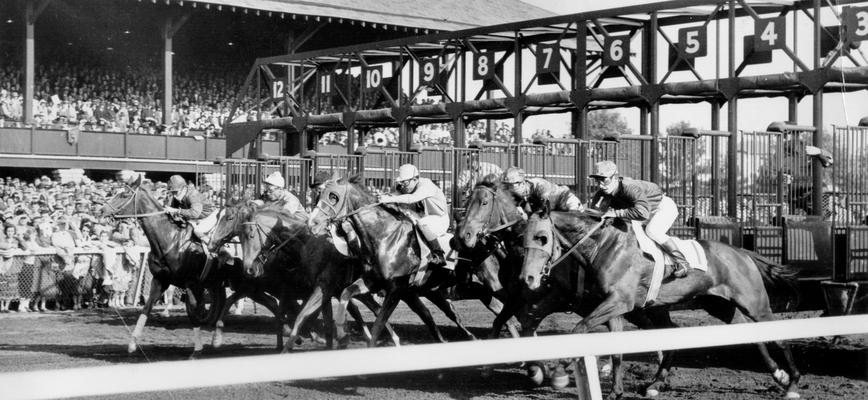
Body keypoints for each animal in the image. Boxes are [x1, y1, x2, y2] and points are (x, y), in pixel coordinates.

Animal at [99, 177, 227, 358]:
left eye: (124, 194)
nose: (101, 211)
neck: (172, 240)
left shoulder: (191, 283)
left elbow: (193, 314)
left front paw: (197, 349)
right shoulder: (160, 280)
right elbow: (146, 308)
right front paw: (132, 344)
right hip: (216, 282)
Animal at [524, 208, 800, 398]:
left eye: (542, 237)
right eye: (522, 237)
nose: (528, 278)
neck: (603, 245)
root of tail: (742, 252)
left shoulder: (619, 302)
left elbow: (579, 328)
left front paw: (558, 374)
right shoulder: (613, 306)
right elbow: (615, 351)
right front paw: (616, 391)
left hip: (754, 303)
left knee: (778, 337)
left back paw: (793, 382)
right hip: (717, 305)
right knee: (750, 336)